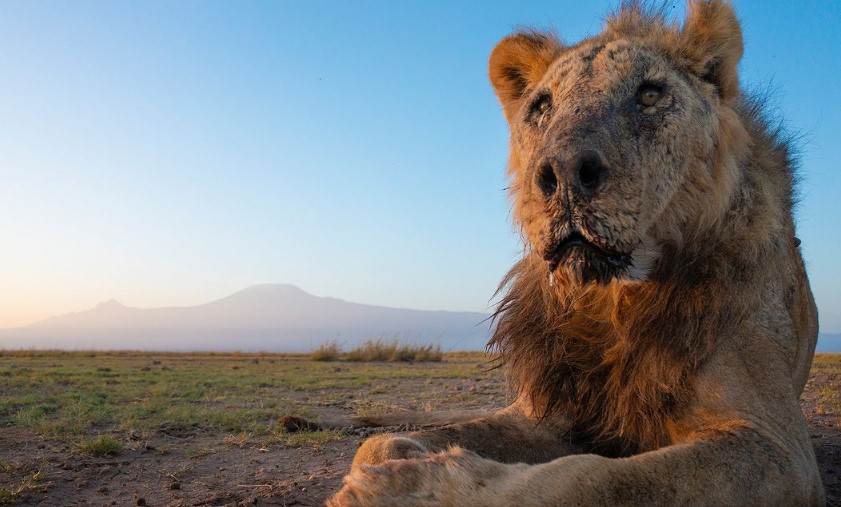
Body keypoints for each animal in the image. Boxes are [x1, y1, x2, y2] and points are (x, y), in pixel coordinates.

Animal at [320, 1, 820, 506]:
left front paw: (416, 488)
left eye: (650, 94)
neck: (612, 301)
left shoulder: (776, 445)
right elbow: (379, 443)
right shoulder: (544, 413)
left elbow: (594, 478)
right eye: (542, 106)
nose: (562, 173)